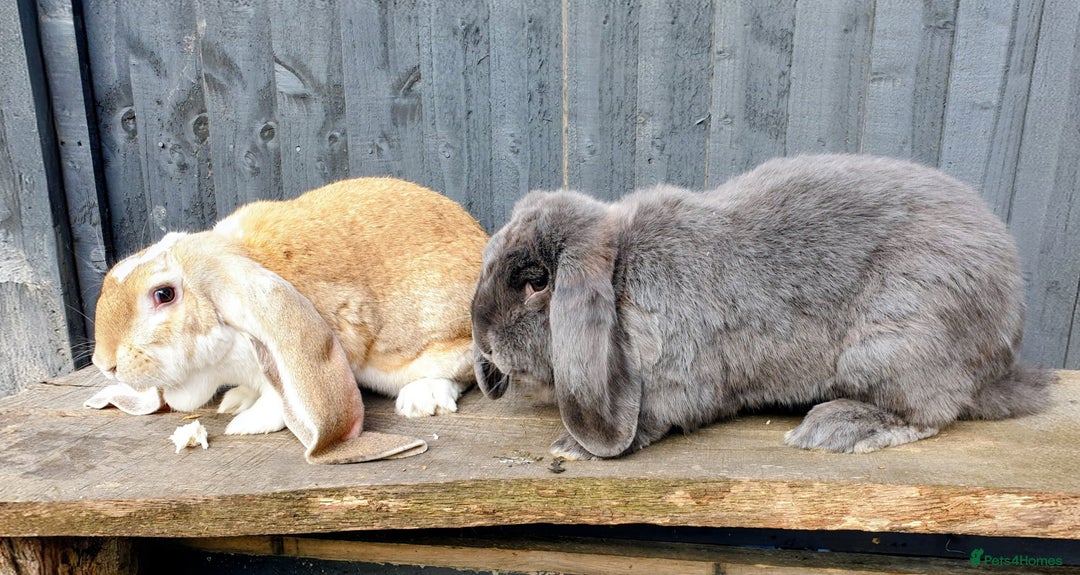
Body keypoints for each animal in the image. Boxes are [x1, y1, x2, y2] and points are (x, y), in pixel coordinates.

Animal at [89, 177, 488, 463]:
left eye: (164, 294)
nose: (104, 364)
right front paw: (237, 400)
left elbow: (278, 401)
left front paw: (246, 424)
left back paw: (421, 399)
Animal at [471, 154, 1054, 460]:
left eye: (536, 283)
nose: (484, 340)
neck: (620, 278)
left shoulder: (677, 382)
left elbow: (652, 418)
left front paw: (570, 447)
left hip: (894, 346)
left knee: (930, 412)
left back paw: (837, 428)